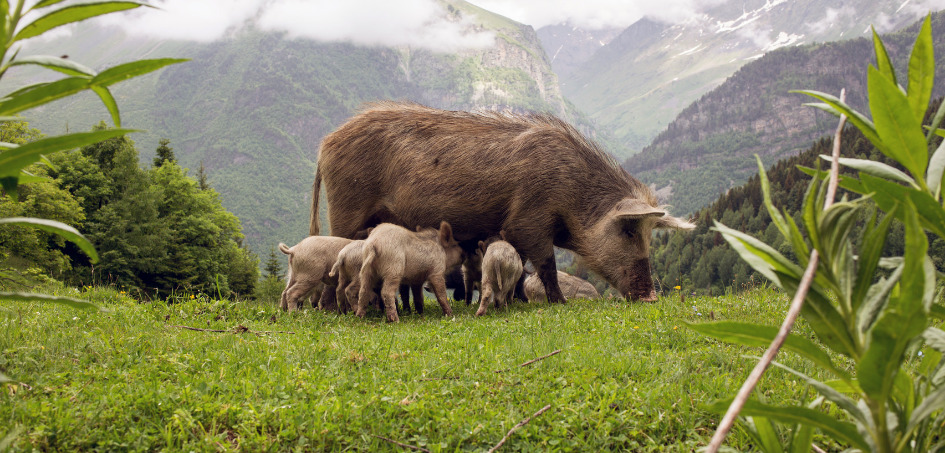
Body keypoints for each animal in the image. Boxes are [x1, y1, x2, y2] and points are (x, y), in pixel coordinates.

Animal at [311, 101, 693, 304]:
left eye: (649, 235)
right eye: (629, 231)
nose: (651, 297)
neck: (571, 193)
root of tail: (325, 144)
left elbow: (520, 265)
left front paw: (519, 300)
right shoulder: (528, 218)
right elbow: (545, 263)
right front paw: (559, 302)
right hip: (345, 204)